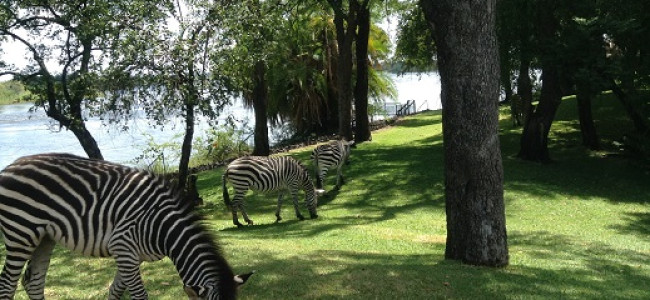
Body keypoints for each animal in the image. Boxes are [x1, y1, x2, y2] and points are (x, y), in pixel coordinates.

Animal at [0, 154, 251, 300]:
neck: (164, 228)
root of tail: (10, 166)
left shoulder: (131, 256)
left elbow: (115, 291)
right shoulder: (122, 246)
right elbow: (139, 296)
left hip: (44, 237)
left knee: (33, 282)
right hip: (20, 234)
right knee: (7, 285)